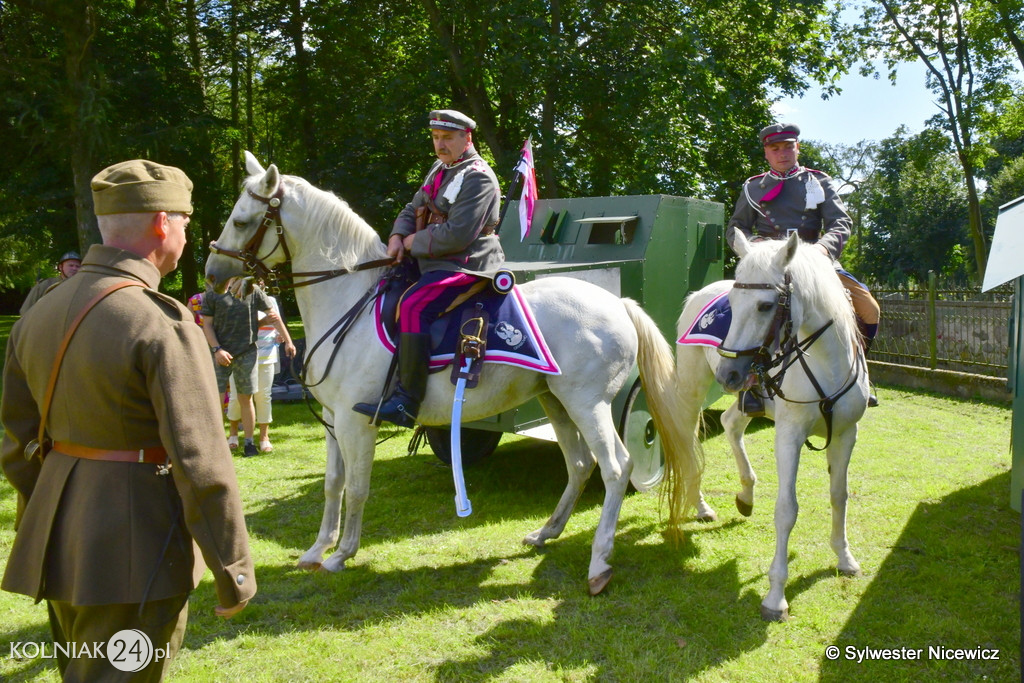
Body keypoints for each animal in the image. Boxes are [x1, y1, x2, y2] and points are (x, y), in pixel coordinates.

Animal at [203, 152, 700, 593]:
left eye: (243, 221)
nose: (211, 274)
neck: (350, 301)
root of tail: (616, 302)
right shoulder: (332, 421)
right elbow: (332, 485)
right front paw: (314, 551)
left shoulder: (356, 422)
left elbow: (358, 489)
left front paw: (342, 554)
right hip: (555, 400)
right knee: (579, 465)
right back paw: (547, 532)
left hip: (589, 404)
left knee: (616, 467)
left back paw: (599, 562)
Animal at [667, 232, 868, 622]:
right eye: (732, 304)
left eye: (764, 305)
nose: (728, 373)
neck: (825, 363)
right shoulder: (788, 436)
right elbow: (787, 509)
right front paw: (776, 596)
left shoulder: (846, 434)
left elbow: (839, 495)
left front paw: (845, 557)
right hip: (693, 384)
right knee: (686, 432)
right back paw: (701, 505)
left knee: (730, 423)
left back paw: (746, 494)